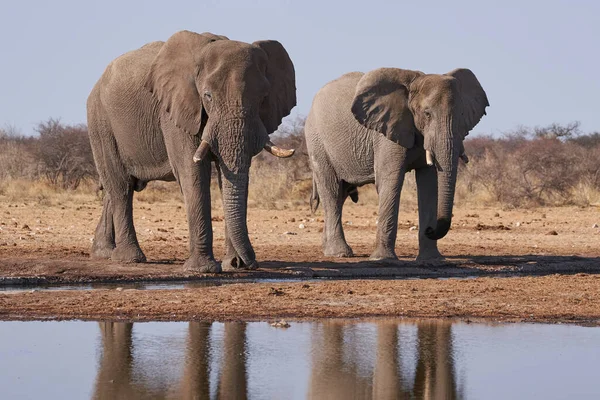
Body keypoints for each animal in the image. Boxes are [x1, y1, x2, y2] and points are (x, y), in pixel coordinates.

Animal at [87, 30, 298, 272]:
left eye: (263, 98)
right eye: (207, 96)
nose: (247, 263)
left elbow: (231, 177)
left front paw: (231, 265)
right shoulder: (175, 111)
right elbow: (192, 171)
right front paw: (202, 269)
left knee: (118, 187)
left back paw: (103, 253)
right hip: (101, 123)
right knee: (121, 187)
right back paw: (129, 258)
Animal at [304, 67, 488, 260]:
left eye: (462, 115)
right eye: (427, 114)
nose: (431, 229)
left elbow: (429, 185)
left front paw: (432, 260)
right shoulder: (386, 132)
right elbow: (391, 181)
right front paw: (382, 259)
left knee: (341, 194)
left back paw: (329, 248)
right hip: (317, 142)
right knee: (331, 191)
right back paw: (339, 253)